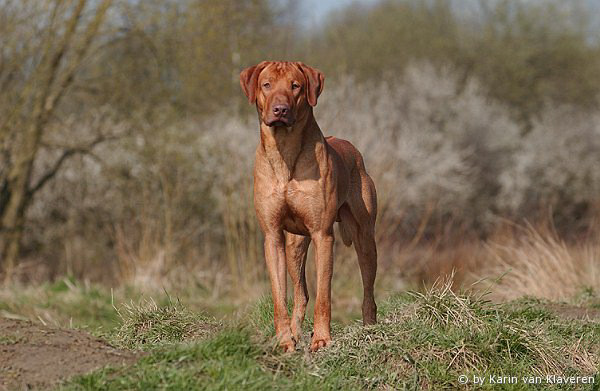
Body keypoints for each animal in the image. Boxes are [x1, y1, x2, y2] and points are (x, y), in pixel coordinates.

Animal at [240, 62, 378, 354]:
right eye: (267, 85)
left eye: (296, 86)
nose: (280, 109)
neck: (285, 151)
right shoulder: (272, 236)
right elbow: (280, 297)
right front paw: (284, 340)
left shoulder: (323, 236)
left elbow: (324, 294)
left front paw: (322, 339)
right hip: (294, 245)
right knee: (301, 292)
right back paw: (294, 332)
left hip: (365, 238)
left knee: (368, 290)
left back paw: (370, 328)